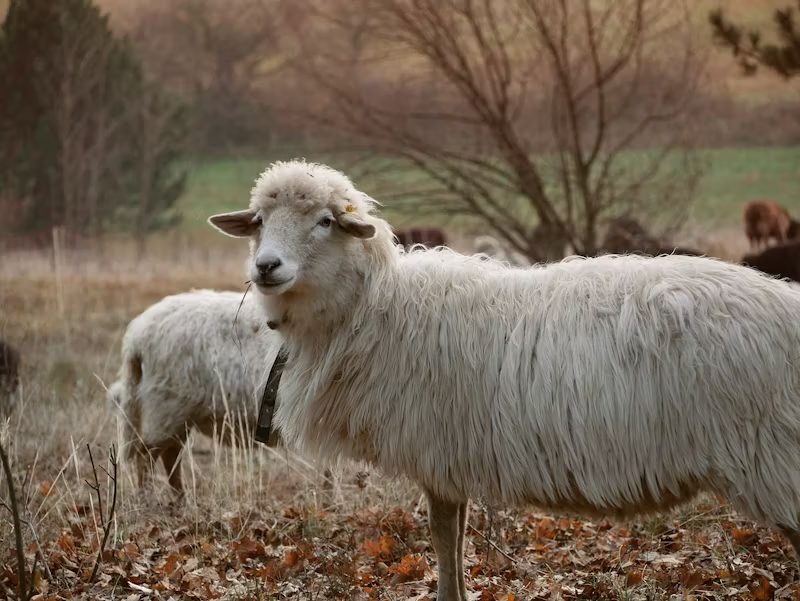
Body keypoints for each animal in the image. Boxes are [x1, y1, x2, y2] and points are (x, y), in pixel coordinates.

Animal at [107, 289, 285, 499]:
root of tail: (138, 332)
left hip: (178, 415)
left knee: (170, 455)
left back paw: (180, 498)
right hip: (165, 406)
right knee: (147, 455)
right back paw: (149, 498)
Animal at [209, 160, 800, 600]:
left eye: (326, 221)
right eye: (259, 220)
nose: (266, 267)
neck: (374, 306)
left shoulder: (434, 448)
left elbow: (444, 537)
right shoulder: (448, 456)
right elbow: (454, 537)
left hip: (775, 455)